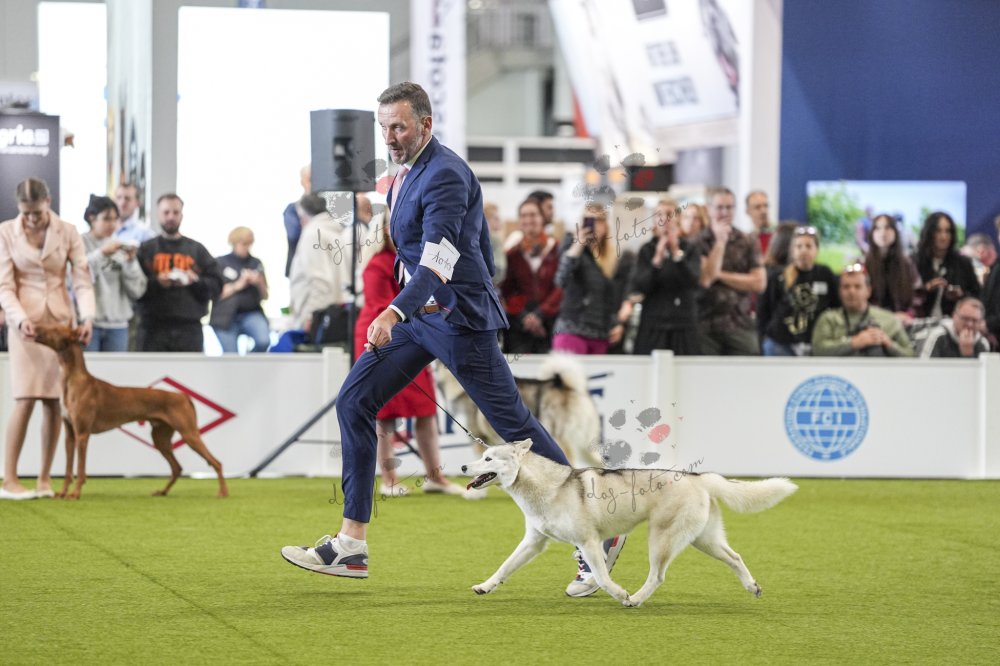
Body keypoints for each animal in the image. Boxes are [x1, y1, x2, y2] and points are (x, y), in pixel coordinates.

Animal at [31, 324, 228, 500]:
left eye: (54, 328)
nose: (34, 327)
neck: (72, 380)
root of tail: (183, 395)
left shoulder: (82, 434)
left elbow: (80, 470)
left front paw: (75, 494)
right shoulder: (70, 435)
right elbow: (68, 471)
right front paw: (63, 493)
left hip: (189, 434)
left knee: (216, 462)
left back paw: (223, 492)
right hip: (161, 438)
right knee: (177, 468)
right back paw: (162, 492)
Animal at [461, 440, 797, 607]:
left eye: (489, 459)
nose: (464, 466)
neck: (546, 488)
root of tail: (699, 478)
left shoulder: (588, 542)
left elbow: (601, 575)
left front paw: (619, 593)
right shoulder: (533, 541)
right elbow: (505, 567)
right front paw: (485, 587)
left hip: (661, 540)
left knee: (657, 576)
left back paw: (634, 599)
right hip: (705, 540)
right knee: (735, 557)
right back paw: (752, 587)